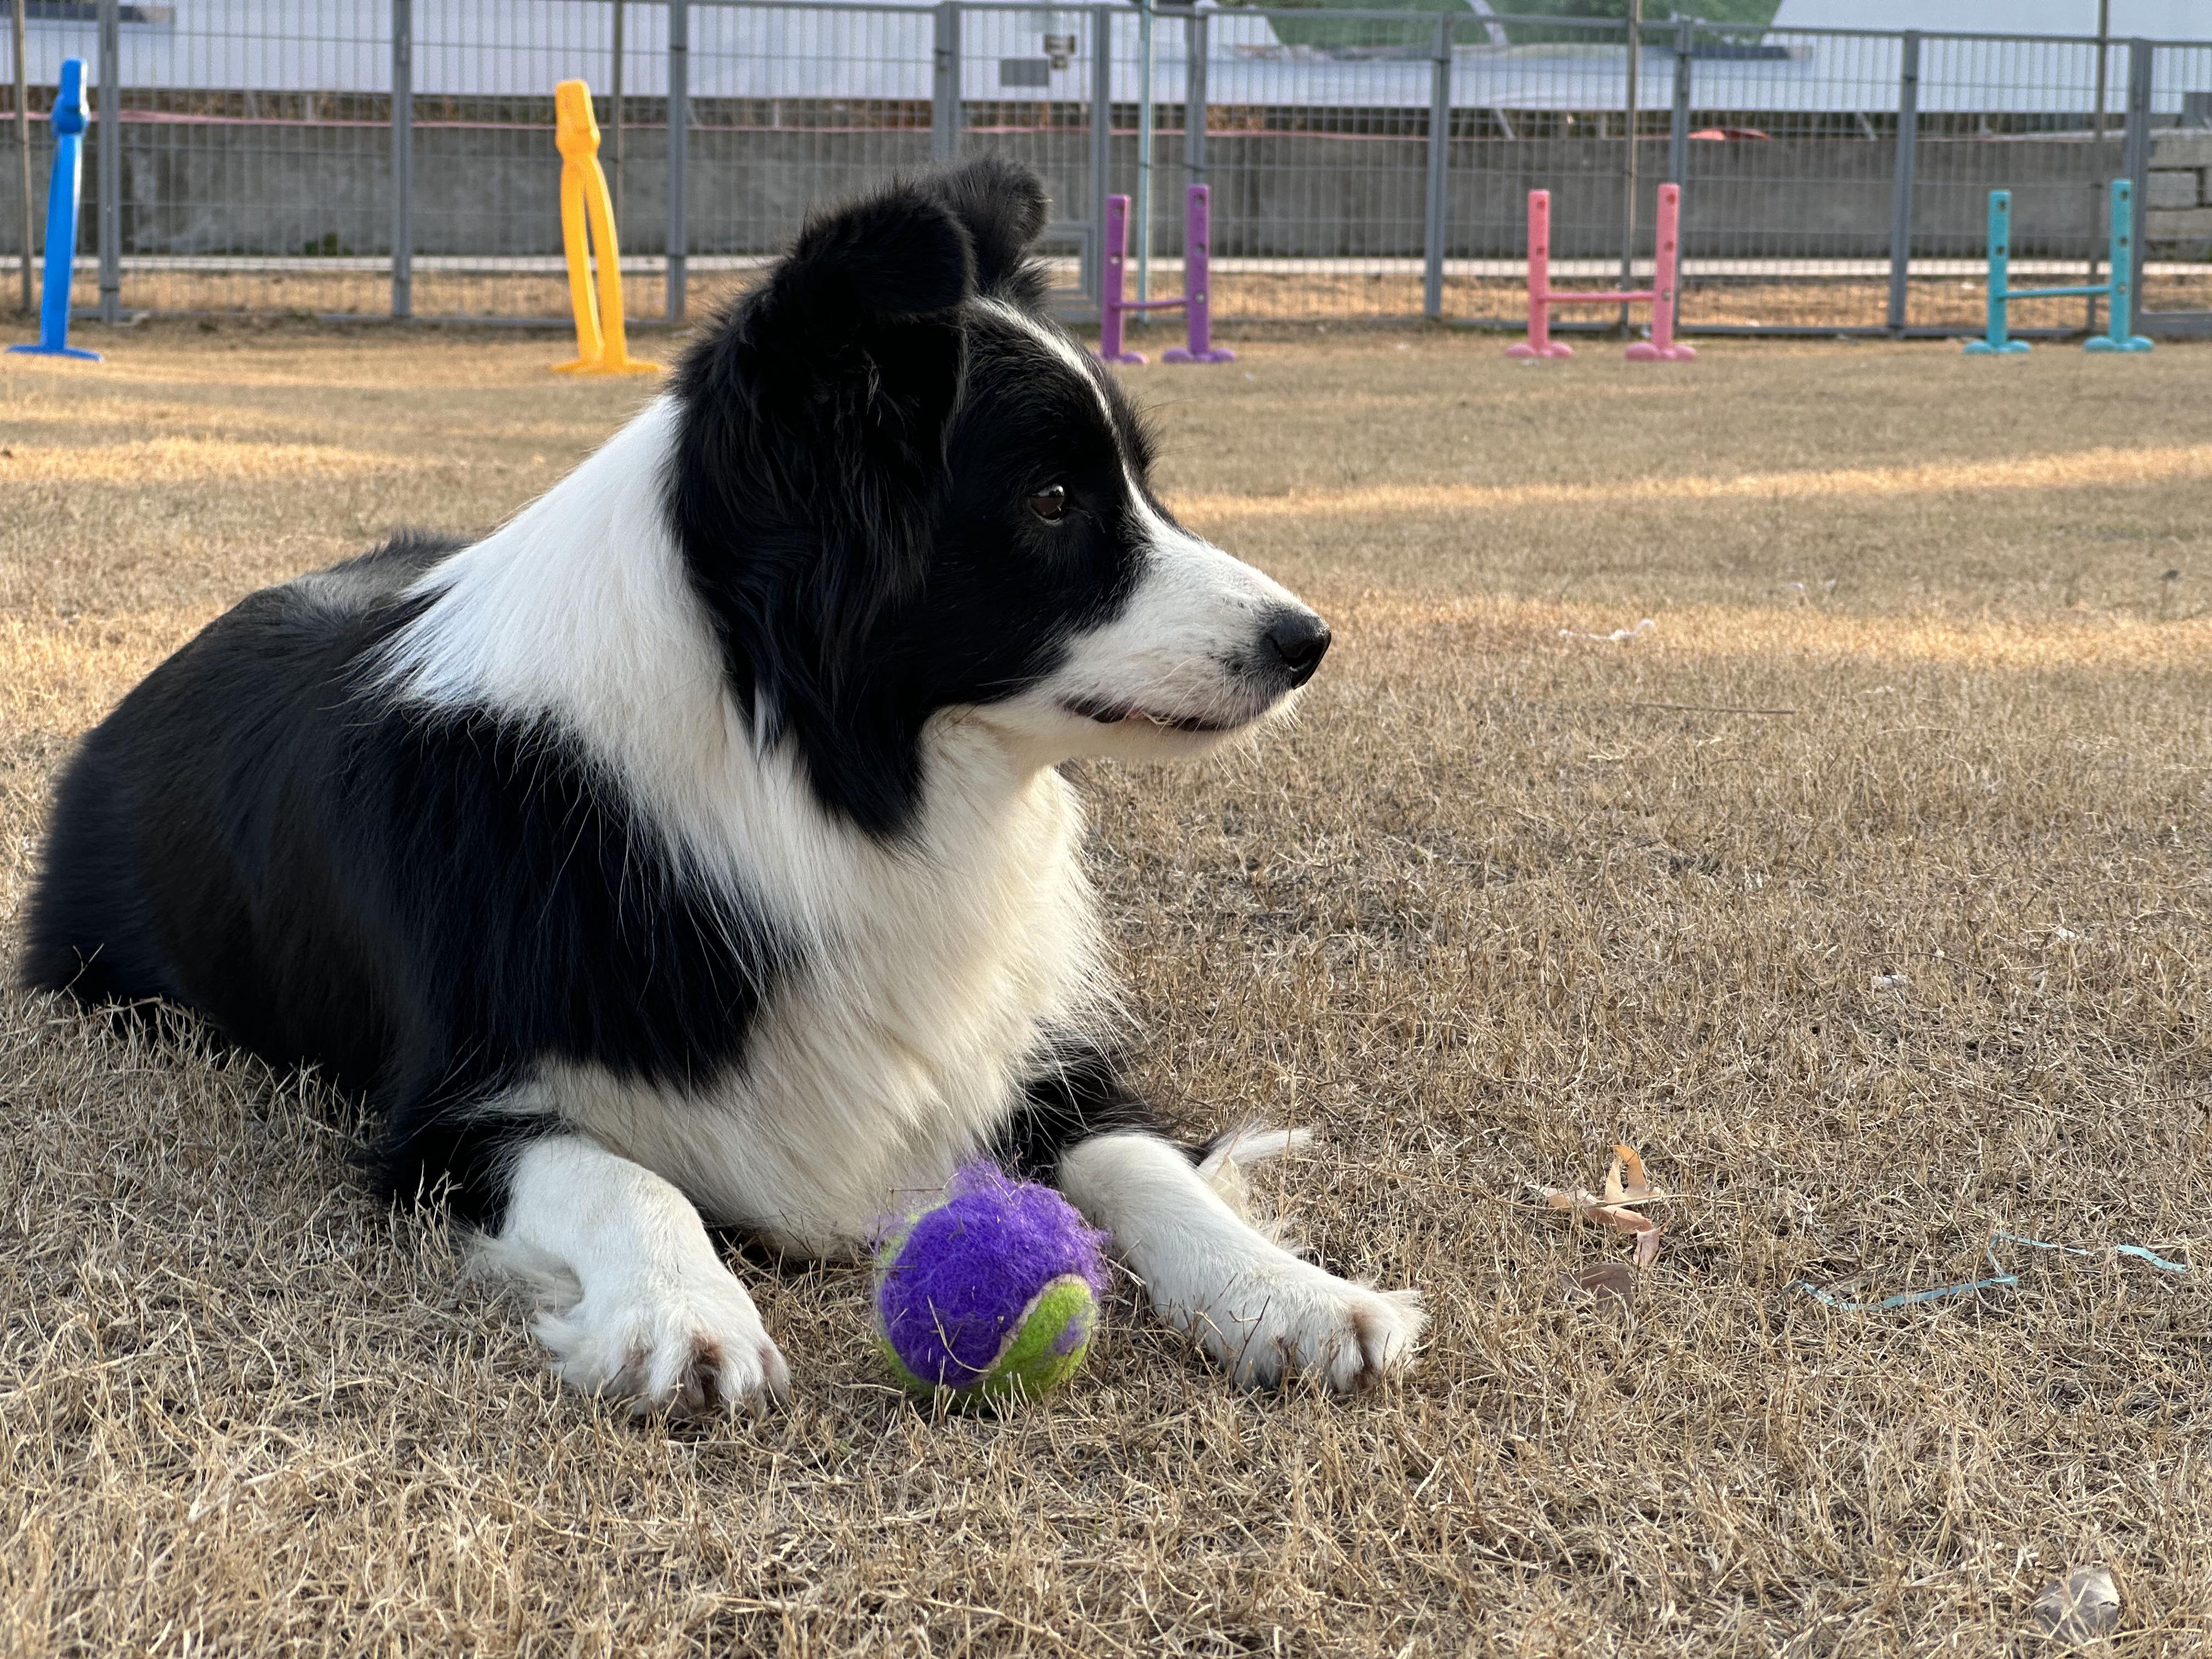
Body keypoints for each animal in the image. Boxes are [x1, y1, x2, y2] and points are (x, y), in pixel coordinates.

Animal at [21, 162, 1415, 1415]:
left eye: (1136, 479)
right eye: (1054, 498)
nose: (1308, 642)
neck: (804, 773)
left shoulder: (1029, 1055)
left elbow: (1148, 1160)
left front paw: (1291, 1295)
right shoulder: (448, 1118)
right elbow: (625, 1178)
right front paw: (680, 1314)